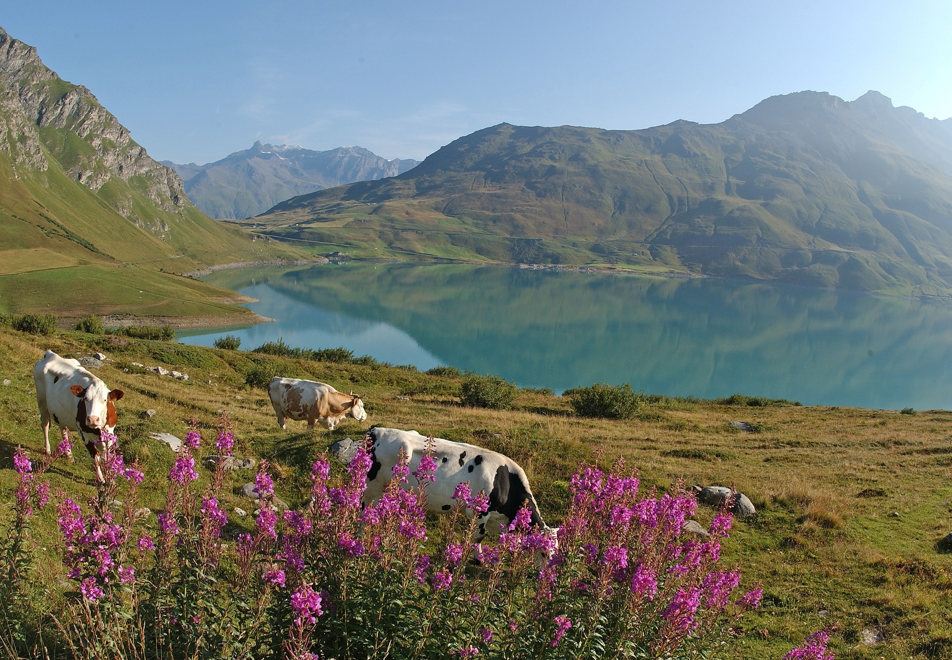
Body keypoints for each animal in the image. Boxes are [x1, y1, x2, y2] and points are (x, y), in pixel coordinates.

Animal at [33, 348, 123, 482]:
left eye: (105, 400)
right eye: (85, 399)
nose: (92, 419)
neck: (98, 430)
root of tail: (50, 354)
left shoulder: (109, 435)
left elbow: (107, 458)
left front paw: (110, 480)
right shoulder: (85, 435)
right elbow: (96, 459)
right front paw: (101, 480)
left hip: (60, 413)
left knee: (63, 429)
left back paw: (69, 454)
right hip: (42, 401)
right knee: (45, 425)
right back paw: (48, 450)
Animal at [346, 428, 556, 540]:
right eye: (545, 552)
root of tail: (376, 430)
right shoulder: (479, 512)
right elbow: (477, 537)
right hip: (372, 488)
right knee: (365, 512)